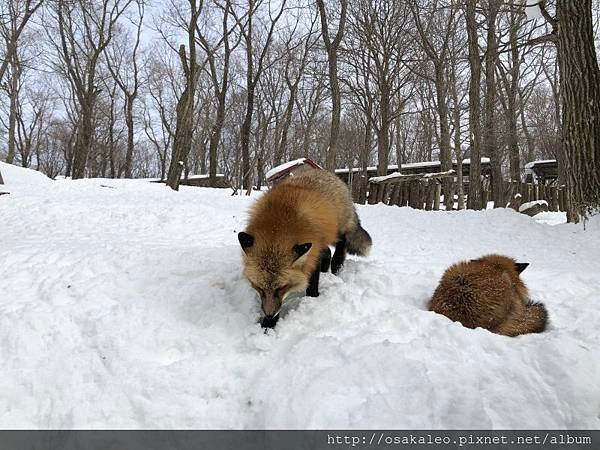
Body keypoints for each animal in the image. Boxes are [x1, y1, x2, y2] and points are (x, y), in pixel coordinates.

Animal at [238, 165, 370, 326]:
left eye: (281, 288)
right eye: (259, 288)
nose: (269, 315)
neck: (279, 222)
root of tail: (329, 174)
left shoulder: (313, 251)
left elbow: (312, 284)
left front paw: (313, 298)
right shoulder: (313, 247)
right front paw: (269, 324)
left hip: (337, 233)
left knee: (341, 246)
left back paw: (336, 267)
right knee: (327, 252)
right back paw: (326, 269)